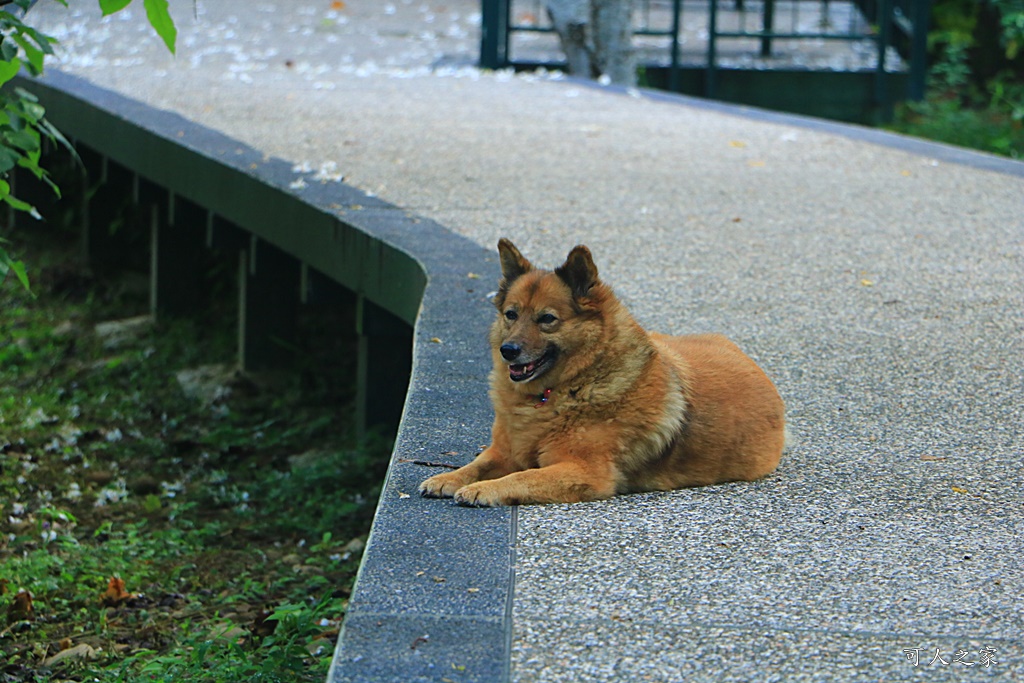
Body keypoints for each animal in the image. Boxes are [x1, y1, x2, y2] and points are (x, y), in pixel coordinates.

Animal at [419, 240, 786, 507]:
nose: (508, 351)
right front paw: (447, 479)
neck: (566, 387)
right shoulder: (504, 451)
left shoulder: (584, 471)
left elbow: (521, 478)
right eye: (511, 314)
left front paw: (484, 489)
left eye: (547, 319)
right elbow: (476, 465)